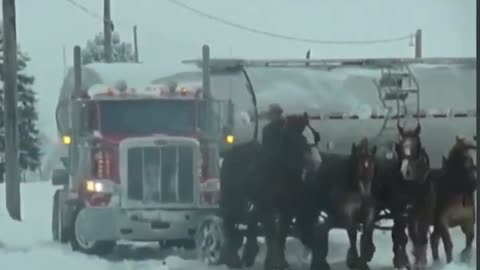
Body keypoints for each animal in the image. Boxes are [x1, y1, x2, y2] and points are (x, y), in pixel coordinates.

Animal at [219, 113, 320, 270]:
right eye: (300, 138)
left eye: (315, 137)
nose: (317, 163)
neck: (280, 170)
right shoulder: (267, 205)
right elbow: (271, 232)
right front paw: (274, 262)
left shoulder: (288, 208)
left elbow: (281, 233)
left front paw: (281, 262)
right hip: (231, 196)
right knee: (230, 220)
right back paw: (232, 258)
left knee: (251, 219)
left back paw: (249, 253)